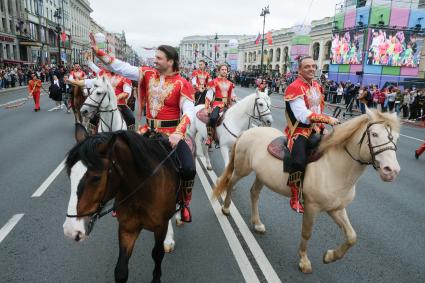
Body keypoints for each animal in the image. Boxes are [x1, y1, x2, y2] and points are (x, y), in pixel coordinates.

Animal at [63, 125, 180, 282]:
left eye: (96, 178)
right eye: (69, 174)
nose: (71, 230)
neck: (141, 192)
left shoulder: (160, 226)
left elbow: (157, 254)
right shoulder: (127, 229)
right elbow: (121, 270)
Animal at [214, 108, 400, 272]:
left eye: (396, 138)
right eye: (374, 134)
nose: (391, 171)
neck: (335, 167)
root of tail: (248, 132)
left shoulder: (336, 209)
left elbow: (352, 236)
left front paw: (330, 256)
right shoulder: (312, 207)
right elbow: (307, 233)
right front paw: (304, 261)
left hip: (261, 175)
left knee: (254, 193)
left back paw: (257, 223)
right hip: (242, 169)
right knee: (230, 183)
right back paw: (226, 208)